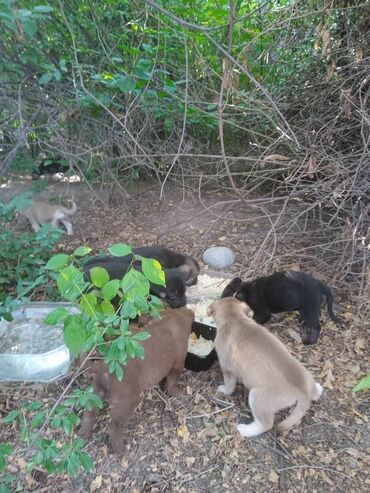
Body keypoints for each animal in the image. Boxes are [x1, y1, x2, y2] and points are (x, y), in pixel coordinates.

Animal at [78, 308, 194, 454]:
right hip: (126, 401)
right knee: (114, 425)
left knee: (89, 412)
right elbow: (172, 382)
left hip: (96, 392)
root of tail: (104, 365)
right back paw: (121, 450)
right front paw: (177, 394)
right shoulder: (178, 365)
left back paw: (83, 433)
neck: (174, 320)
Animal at [207, 298, 322, 436]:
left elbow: (229, 385)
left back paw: (245, 430)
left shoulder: (227, 367)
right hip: (307, 375)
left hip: (257, 398)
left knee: (265, 424)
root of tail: (304, 393)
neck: (235, 318)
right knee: (315, 391)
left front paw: (224, 390)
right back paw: (318, 389)